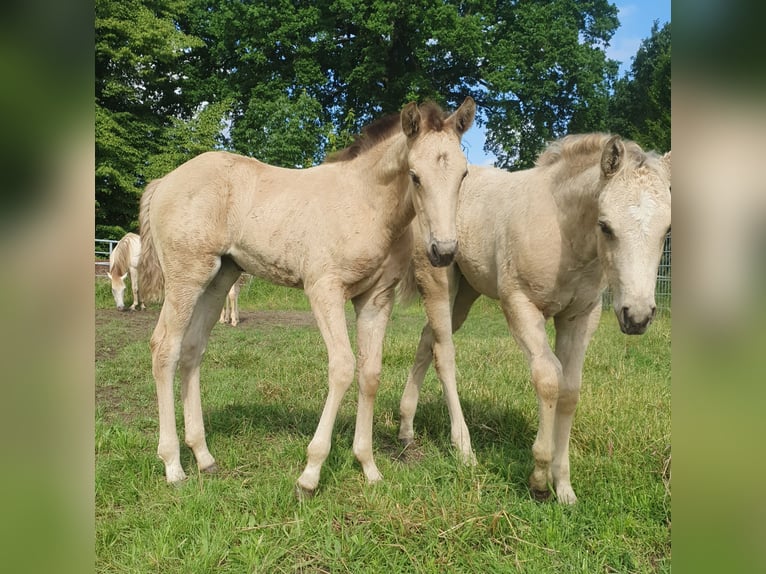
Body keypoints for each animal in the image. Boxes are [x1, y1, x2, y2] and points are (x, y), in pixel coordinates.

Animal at [138, 98, 476, 493]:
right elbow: (343, 367)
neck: (367, 203)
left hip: (219, 279)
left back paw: (204, 457)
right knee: (165, 348)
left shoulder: (376, 299)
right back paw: (173, 466)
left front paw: (369, 467)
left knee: (192, 351)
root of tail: (165, 181)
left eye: (463, 175)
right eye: (415, 175)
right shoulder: (324, 289)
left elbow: (370, 373)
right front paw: (310, 473)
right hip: (186, 278)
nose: (444, 251)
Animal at [397, 133, 671, 504]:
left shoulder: (581, 315)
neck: (564, 232)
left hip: (466, 293)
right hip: (438, 282)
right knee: (445, 354)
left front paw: (564, 487)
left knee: (428, 339)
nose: (638, 316)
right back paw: (464, 449)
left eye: (666, 230)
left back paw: (406, 428)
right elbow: (548, 379)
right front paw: (540, 477)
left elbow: (570, 389)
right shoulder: (520, 304)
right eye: (605, 226)